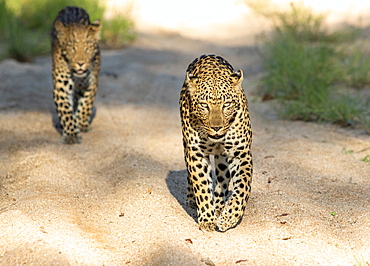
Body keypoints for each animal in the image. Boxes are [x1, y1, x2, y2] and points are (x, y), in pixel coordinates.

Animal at [51, 6, 101, 143]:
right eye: (71, 47)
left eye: (88, 46)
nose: (80, 63)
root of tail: (73, 6)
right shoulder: (61, 86)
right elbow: (65, 111)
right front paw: (71, 134)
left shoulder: (91, 82)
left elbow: (86, 103)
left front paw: (82, 124)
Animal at [180, 54, 253, 231]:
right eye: (204, 105)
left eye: (226, 104)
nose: (216, 128)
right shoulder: (196, 155)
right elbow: (201, 186)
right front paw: (207, 219)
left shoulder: (241, 154)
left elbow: (242, 187)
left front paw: (229, 217)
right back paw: (192, 199)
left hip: (222, 160)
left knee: (222, 179)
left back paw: (220, 206)